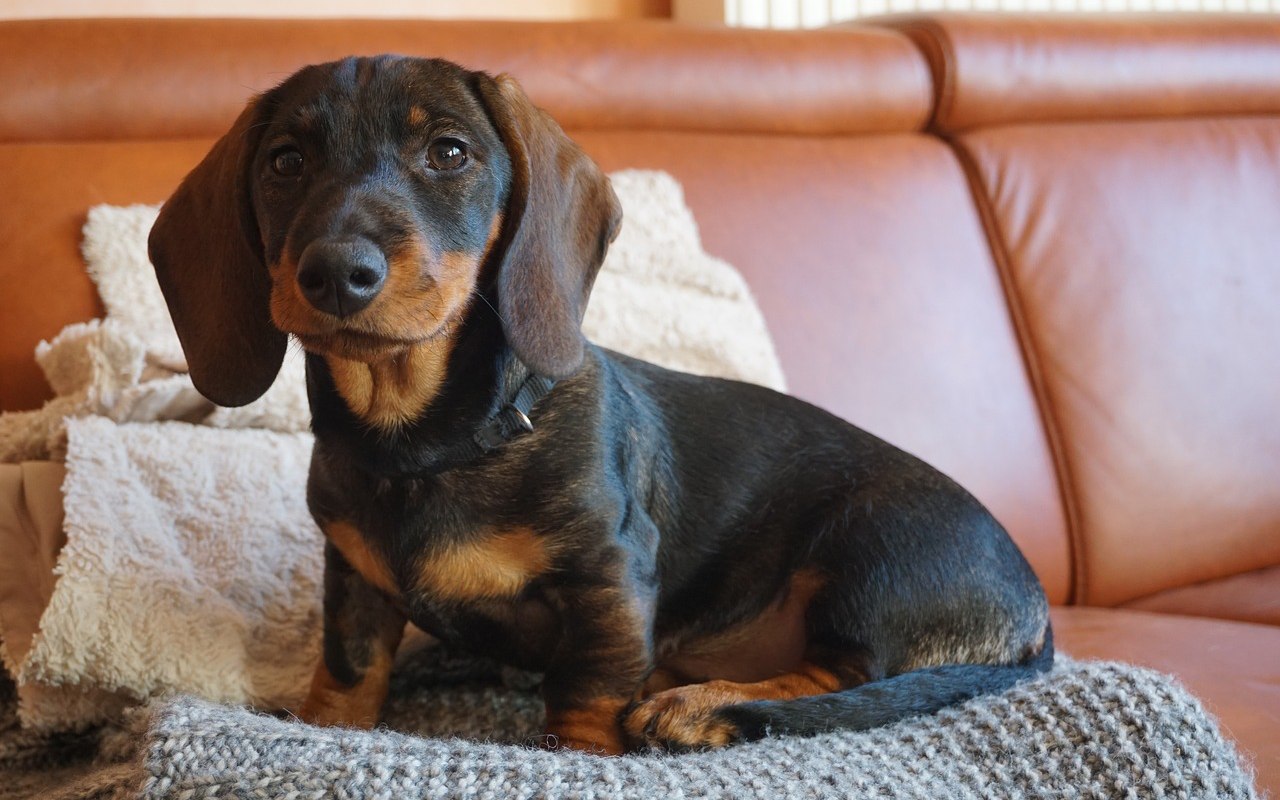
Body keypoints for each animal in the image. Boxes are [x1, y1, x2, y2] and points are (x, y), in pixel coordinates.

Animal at [147, 57, 1049, 752]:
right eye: (285, 162)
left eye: (449, 152)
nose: (338, 273)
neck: (427, 444)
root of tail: (1035, 612)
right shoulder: (353, 576)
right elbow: (350, 664)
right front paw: (322, 724)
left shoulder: (610, 573)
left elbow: (588, 685)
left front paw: (582, 748)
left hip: (870, 554)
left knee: (841, 679)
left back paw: (701, 707)